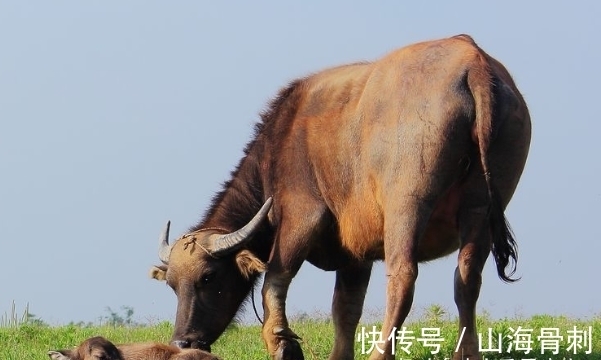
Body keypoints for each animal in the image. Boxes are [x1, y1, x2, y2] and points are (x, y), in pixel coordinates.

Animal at [149, 34, 528, 360]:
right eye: (172, 285)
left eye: (209, 277)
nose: (183, 341)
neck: (280, 142)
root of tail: (473, 63)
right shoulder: (355, 253)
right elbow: (345, 308)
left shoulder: (301, 216)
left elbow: (275, 280)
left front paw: (282, 343)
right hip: (480, 207)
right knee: (467, 280)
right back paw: (466, 354)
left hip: (407, 205)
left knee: (403, 277)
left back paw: (380, 354)